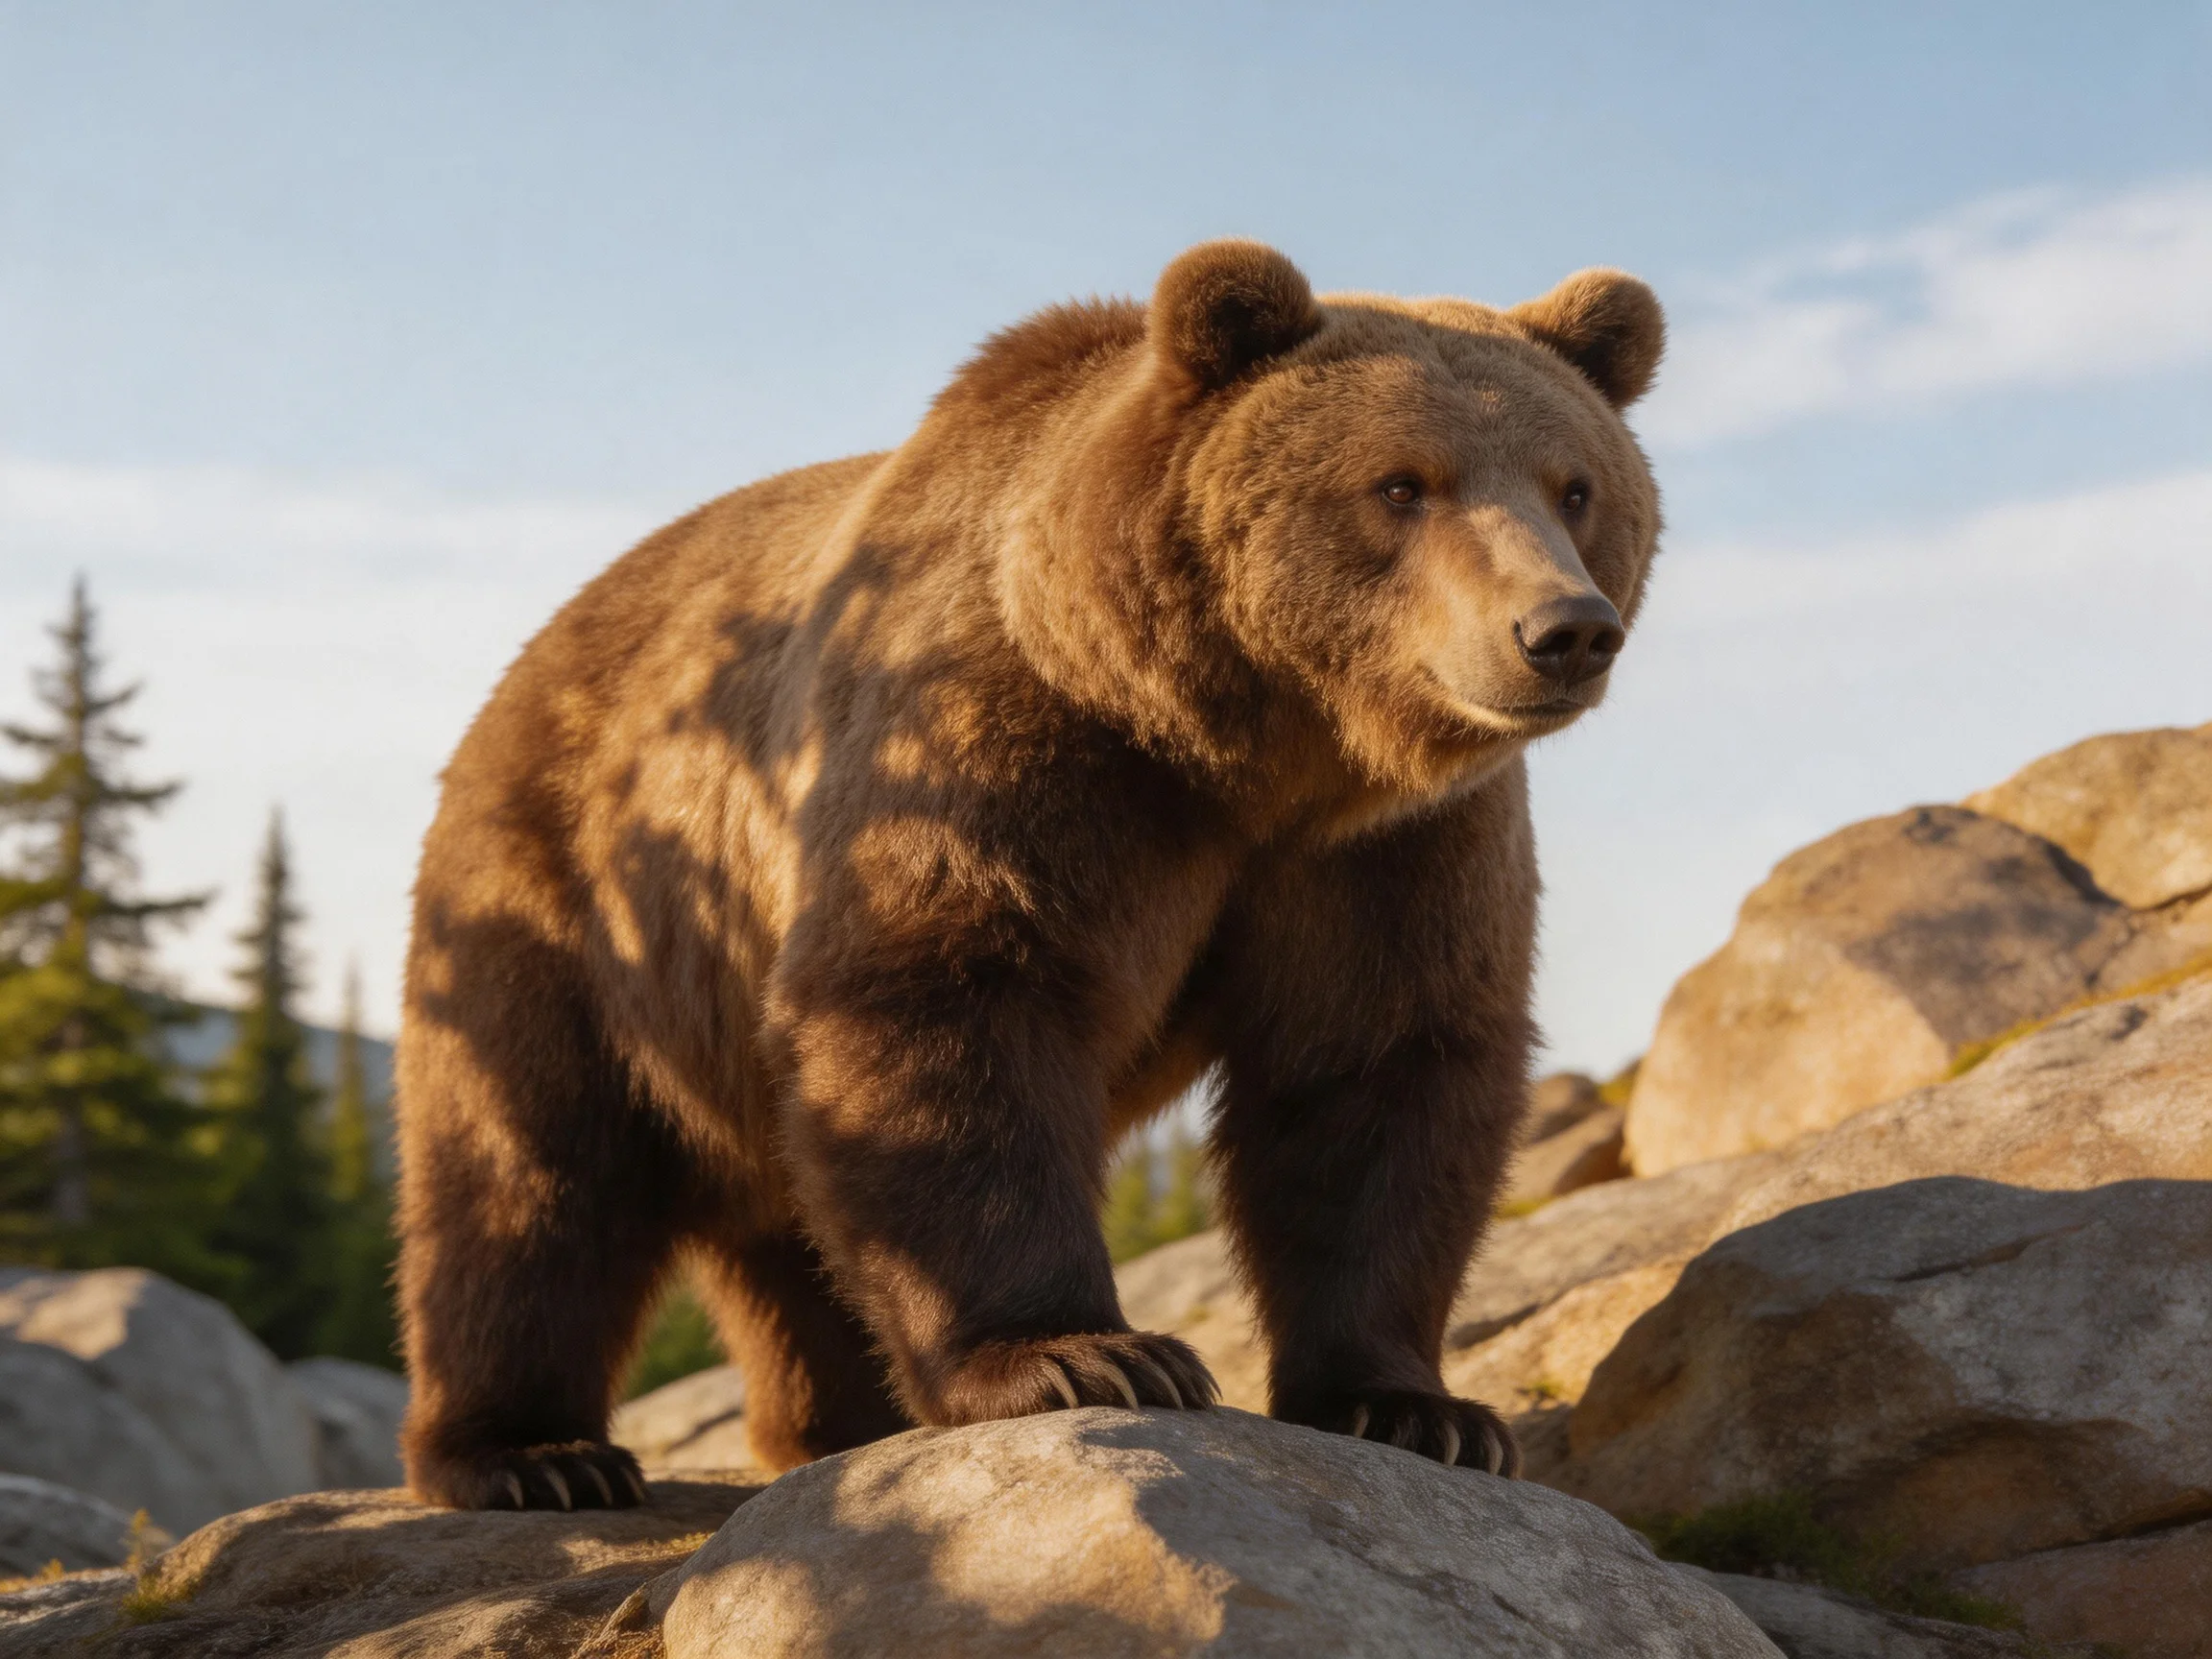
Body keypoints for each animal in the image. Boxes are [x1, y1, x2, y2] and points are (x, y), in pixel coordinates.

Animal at [394, 238, 1664, 1509]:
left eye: (1576, 486)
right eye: (1403, 484)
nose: (1565, 629)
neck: (1248, 745)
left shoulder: (1392, 846)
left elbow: (1379, 1065)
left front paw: (1417, 1408)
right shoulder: (1004, 743)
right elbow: (949, 998)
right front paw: (1083, 1355)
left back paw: (832, 1422)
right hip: (570, 894)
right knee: (528, 1174)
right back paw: (533, 1455)